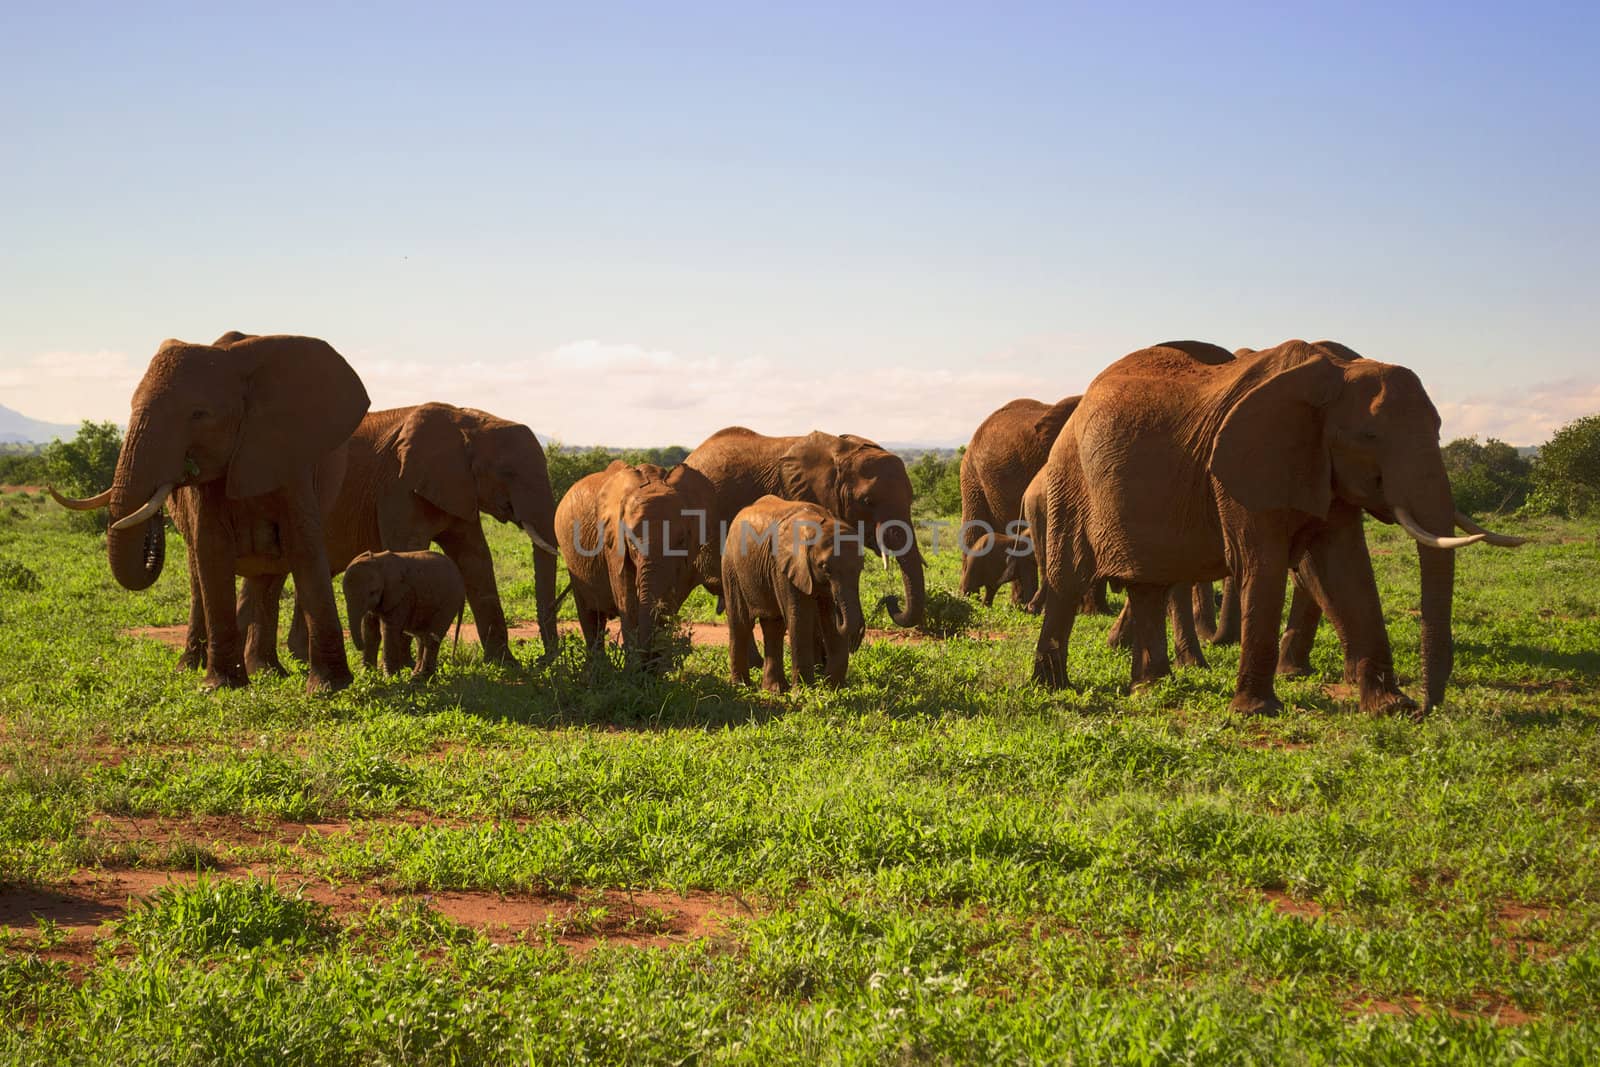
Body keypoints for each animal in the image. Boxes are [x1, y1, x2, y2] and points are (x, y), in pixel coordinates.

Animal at [50, 329, 368, 694]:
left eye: (198, 414)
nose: (172, 479)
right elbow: (212, 551)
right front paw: (222, 686)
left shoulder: (290, 457)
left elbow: (304, 548)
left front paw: (330, 688)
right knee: (198, 578)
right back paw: (192, 668)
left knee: (270, 575)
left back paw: (267, 672)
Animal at [556, 460, 720, 675]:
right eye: (632, 543)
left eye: (681, 541)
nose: (646, 663)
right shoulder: (613, 545)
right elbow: (628, 603)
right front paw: (635, 673)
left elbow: (669, 603)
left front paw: (654, 675)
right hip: (572, 559)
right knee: (591, 616)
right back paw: (598, 671)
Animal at [726, 495, 870, 694]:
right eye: (825, 568)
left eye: (861, 568)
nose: (857, 638)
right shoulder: (786, 567)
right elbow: (800, 621)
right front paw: (804, 692)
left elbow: (829, 623)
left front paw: (832, 690)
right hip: (732, 568)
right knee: (740, 623)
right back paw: (742, 687)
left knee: (773, 626)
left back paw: (774, 690)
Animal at [1030, 337, 1516, 713]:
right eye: (1369, 437)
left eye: (1439, 427)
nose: (1428, 705)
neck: (1334, 375)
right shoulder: (1244, 468)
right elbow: (1261, 565)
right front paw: (1257, 711)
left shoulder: (1319, 466)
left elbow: (1347, 569)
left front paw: (1389, 708)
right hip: (1070, 480)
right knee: (1068, 580)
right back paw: (1053, 689)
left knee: (1148, 586)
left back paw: (1150, 689)